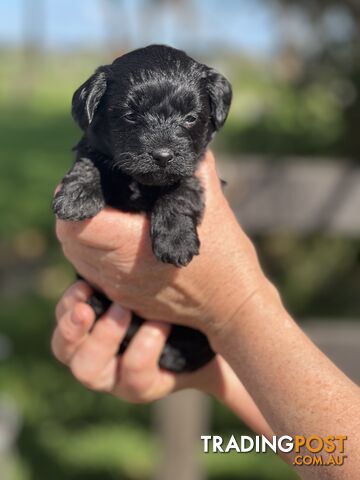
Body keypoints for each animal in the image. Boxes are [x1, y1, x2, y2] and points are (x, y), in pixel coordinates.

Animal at [53, 45, 233, 374]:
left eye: (190, 118)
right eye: (130, 116)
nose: (162, 155)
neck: (141, 183)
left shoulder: (194, 169)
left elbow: (180, 190)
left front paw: (175, 241)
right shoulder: (94, 148)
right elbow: (89, 160)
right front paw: (77, 195)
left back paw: (175, 355)